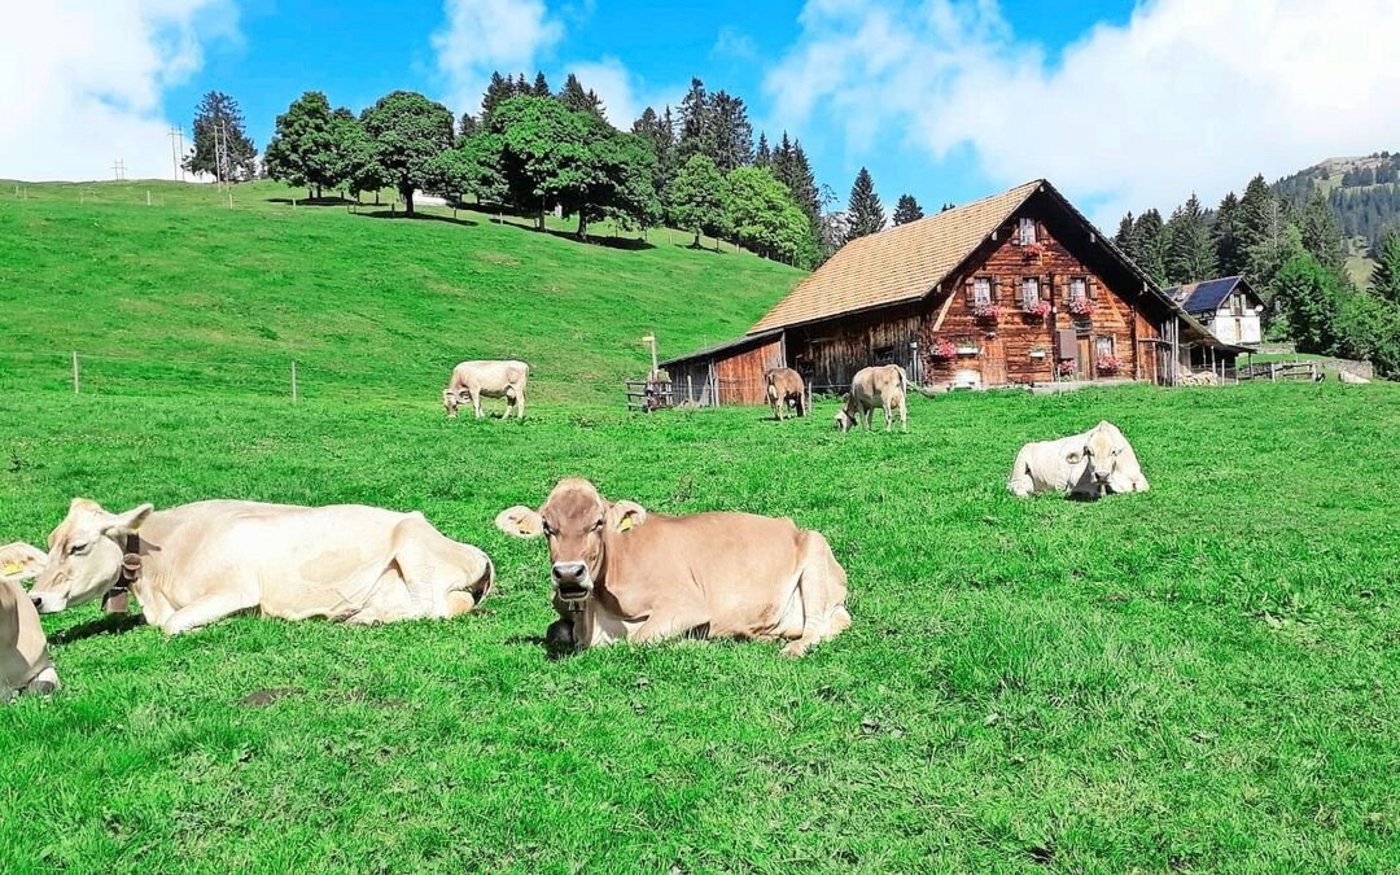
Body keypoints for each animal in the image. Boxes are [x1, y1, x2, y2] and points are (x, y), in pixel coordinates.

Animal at [28, 498, 495, 635]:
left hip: (414, 549)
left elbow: (174, 626)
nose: (34, 598)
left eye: (78, 547)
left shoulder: (234, 590)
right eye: (50, 544)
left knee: (436, 606)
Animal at [494, 478, 850, 658]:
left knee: (816, 628)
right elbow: (555, 631)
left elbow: (639, 639)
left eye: (598, 523)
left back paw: (790, 648)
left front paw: (692, 640)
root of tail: (794, 527)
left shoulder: (686, 604)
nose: (569, 573)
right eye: (547, 527)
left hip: (815, 554)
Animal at [1007, 420, 1150, 500]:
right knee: (1015, 487)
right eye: (1089, 452)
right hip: (1019, 467)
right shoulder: (1074, 482)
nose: (1102, 475)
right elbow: (1097, 492)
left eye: (1113, 452)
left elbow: (1143, 488)